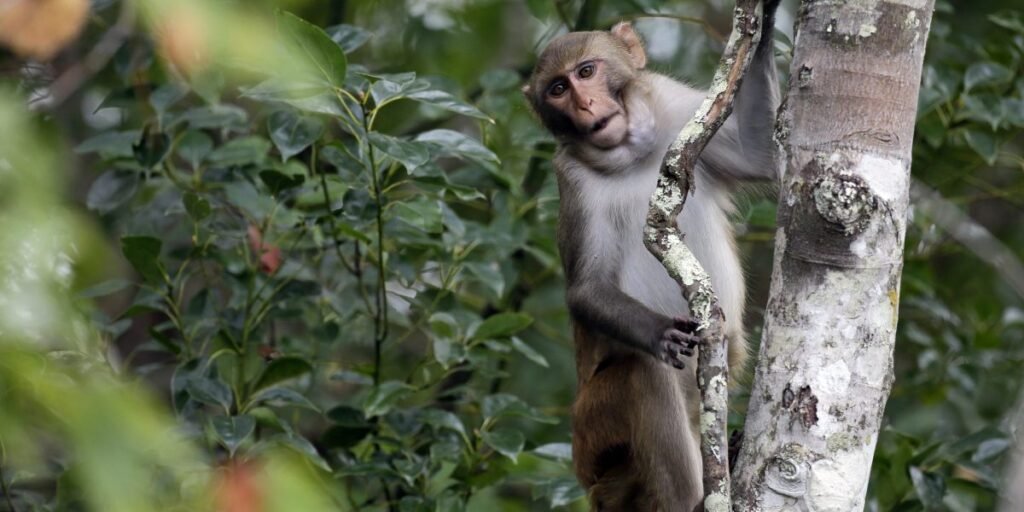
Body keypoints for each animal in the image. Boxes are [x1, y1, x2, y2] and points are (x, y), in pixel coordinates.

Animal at [523, 3, 780, 511]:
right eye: (558, 89)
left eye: (586, 72)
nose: (585, 106)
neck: (630, 155)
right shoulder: (573, 180)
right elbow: (587, 289)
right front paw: (660, 332)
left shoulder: (675, 106)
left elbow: (757, 154)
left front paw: (763, 24)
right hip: (595, 434)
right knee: (644, 376)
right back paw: (694, 501)